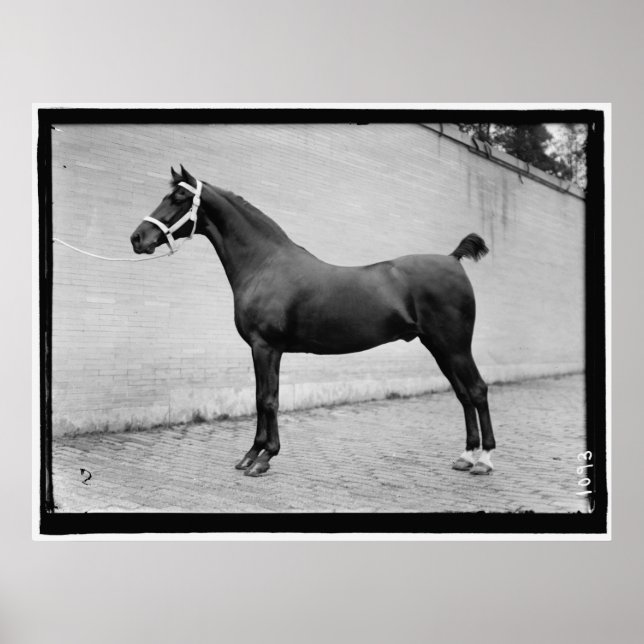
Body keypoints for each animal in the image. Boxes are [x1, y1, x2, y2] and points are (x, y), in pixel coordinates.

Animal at [130, 166, 496, 477]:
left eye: (178, 198)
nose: (137, 238)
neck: (264, 264)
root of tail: (453, 259)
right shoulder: (263, 350)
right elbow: (260, 397)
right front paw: (251, 454)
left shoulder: (266, 347)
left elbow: (267, 399)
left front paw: (264, 458)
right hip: (438, 346)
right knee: (463, 394)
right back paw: (466, 457)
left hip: (455, 346)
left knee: (477, 390)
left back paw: (484, 460)